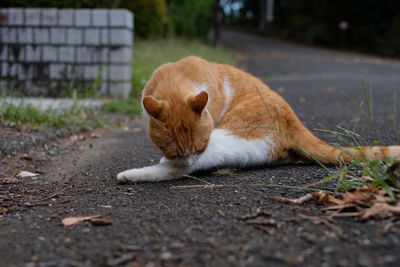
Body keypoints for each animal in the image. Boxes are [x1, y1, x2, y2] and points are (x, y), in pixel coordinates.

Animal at [116, 55, 400, 183]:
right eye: (176, 150)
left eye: (198, 147)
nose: (185, 159)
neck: (176, 77)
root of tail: (294, 122)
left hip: (229, 136)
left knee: (184, 171)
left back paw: (130, 175)